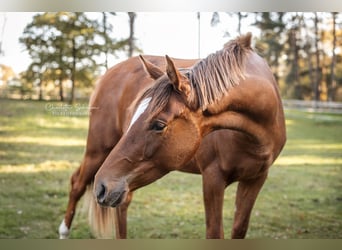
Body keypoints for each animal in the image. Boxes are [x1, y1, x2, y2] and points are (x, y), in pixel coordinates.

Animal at [58, 33, 286, 238]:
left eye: (159, 125)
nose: (102, 187)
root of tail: (109, 73)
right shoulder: (213, 178)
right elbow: (214, 233)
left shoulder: (255, 179)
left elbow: (239, 229)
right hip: (98, 150)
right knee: (77, 184)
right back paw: (63, 231)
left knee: (122, 204)